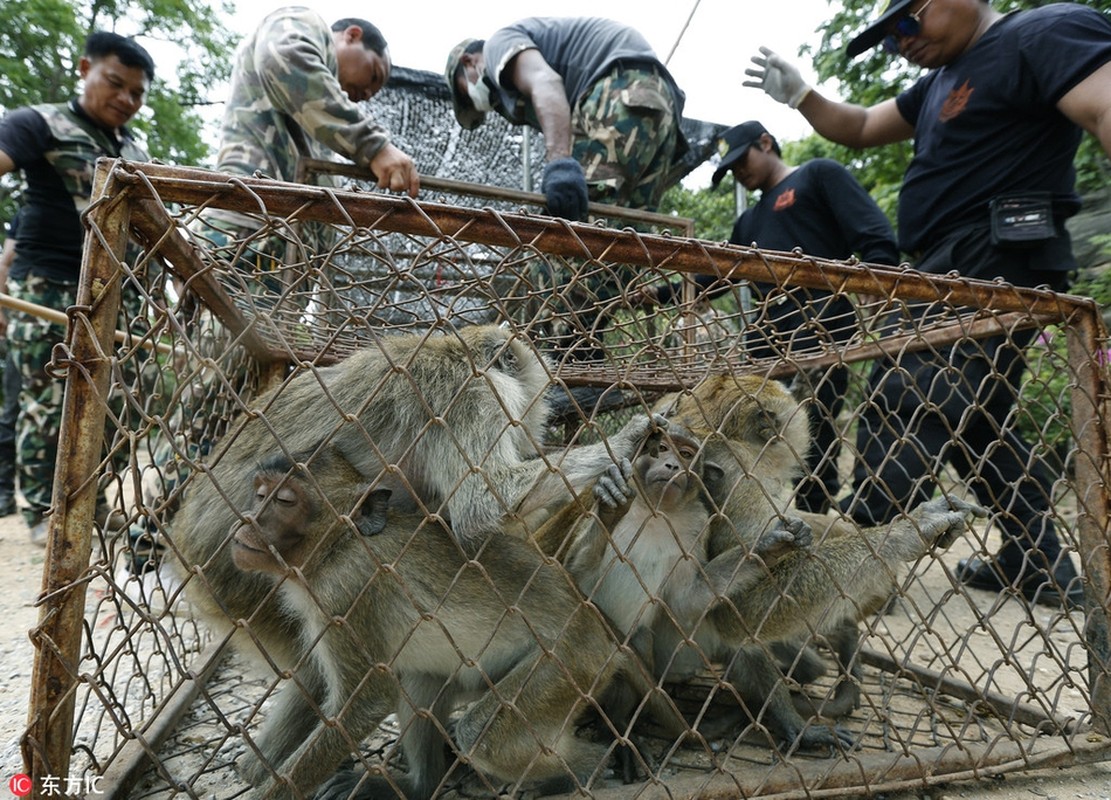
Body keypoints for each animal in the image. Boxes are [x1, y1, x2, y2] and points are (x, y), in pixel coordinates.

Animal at [227, 446, 626, 800]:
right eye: (260, 494)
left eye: (284, 501)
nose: (248, 521)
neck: (338, 545)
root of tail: (598, 625)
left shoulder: (347, 591)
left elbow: (363, 705)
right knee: (421, 680)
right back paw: (417, 787)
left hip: (571, 660)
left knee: (480, 735)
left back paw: (589, 767)